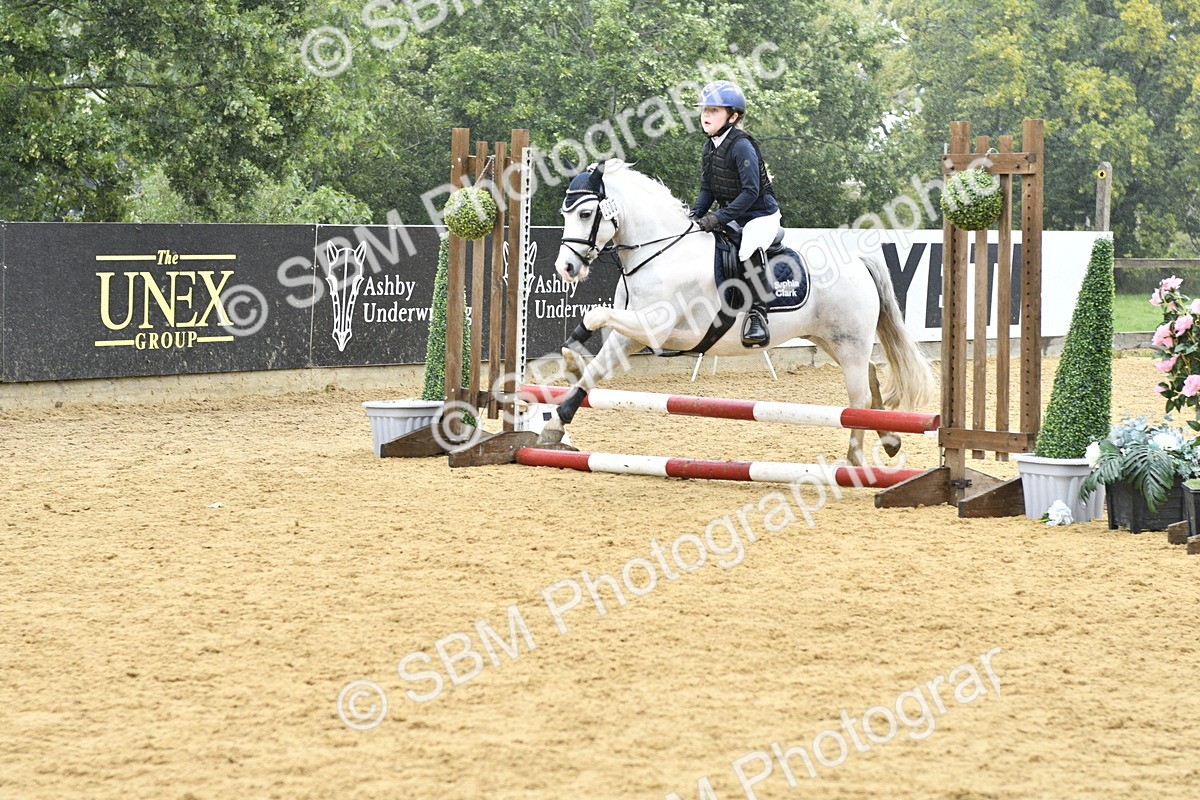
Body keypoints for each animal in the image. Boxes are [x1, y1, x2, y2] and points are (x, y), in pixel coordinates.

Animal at [539, 159, 936, 466]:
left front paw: (571, 360)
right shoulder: (630, 335)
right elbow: (593, 366)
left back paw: (855, 460)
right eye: (565, 213)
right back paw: (889, 441)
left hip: (848, 342)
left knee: (858, 398)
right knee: (870, 378)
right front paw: (557, 420)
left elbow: (594, 316)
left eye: (586, 213)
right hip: (831, 340)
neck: (663, 253)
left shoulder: (660, 329)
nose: (566, 268)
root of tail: (858, 261)